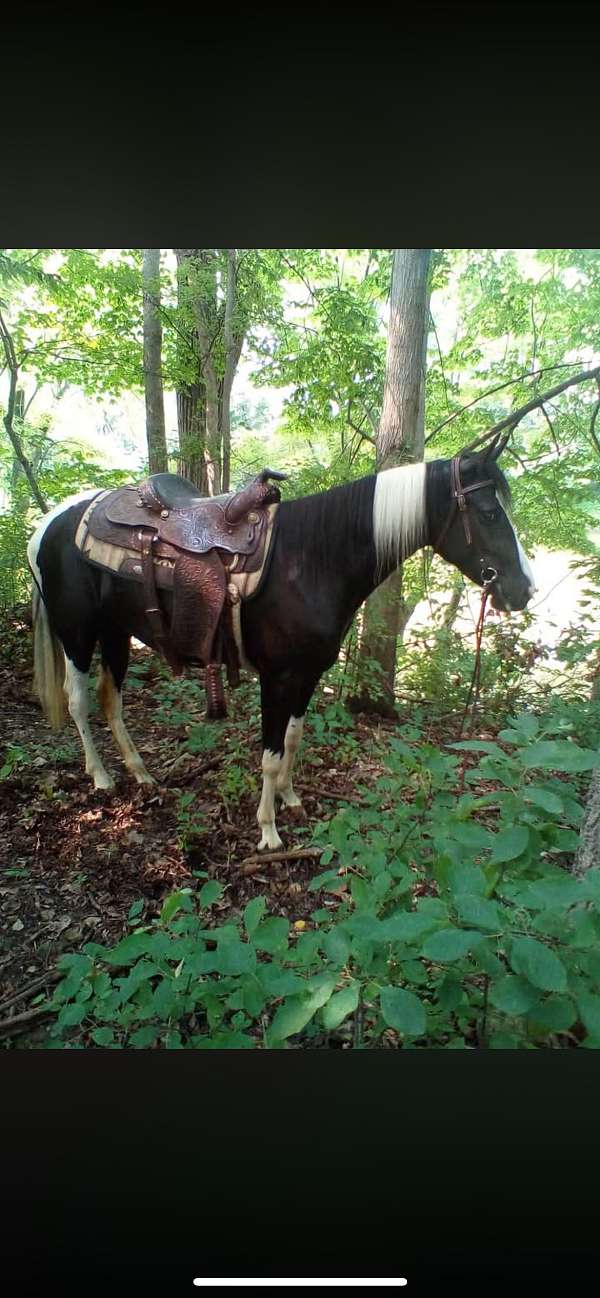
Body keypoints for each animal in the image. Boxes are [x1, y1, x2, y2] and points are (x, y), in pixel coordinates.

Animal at [27, 441, 535, 851]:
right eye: (490, 514)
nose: (525, 589)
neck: (311, 560)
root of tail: (50, 522)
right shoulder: (276, 679)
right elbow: (270, 755)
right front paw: (268, 830)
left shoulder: (308, 674)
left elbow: (292, 739)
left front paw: (291, 798)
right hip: (77, 634)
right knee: (77, 702)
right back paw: (102, 776)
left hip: (117, 632)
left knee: (111, 699)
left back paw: (140, 771)